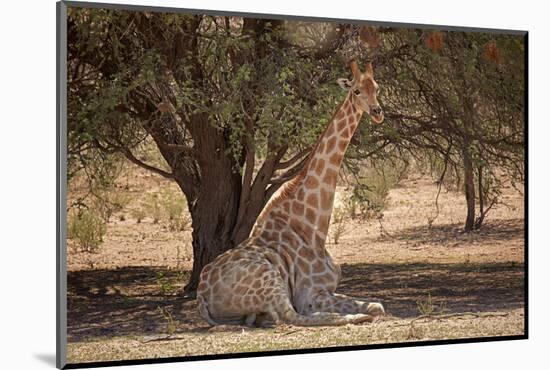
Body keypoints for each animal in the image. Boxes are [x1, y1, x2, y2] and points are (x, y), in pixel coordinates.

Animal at [198, 60, 388, 326]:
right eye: (356, 91)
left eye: (377, 88)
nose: (377, 112)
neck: (313, 227)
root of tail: (201, 295)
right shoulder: (310, 294)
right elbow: (374, 307)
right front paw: (358, 313)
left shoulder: (329, 289)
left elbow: (377, 304)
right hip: (269, 277)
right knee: (293, 317)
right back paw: (353, 316)